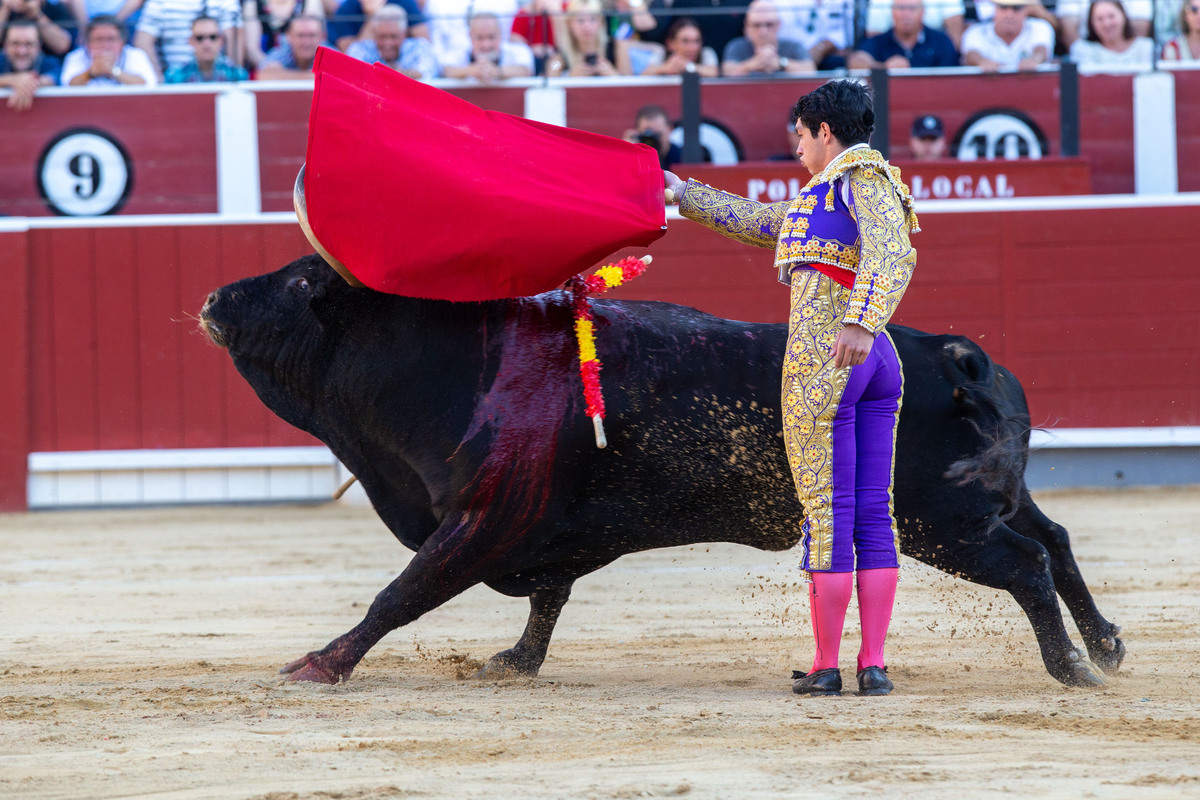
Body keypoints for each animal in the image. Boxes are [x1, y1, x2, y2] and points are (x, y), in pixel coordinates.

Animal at [199, 256, 1123, 690]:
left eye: (296, 283)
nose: (211, 300)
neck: (454, 364)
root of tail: (950, 353)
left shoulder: (483, 519)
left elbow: (401, 594)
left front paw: (319, 665)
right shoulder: (539, 536)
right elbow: (544, 604)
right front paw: (514, 662)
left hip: (937, 520)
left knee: (1025, 564)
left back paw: (1071, 669)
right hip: (989, 496)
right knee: (1055, 539)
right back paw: (1107, 646)